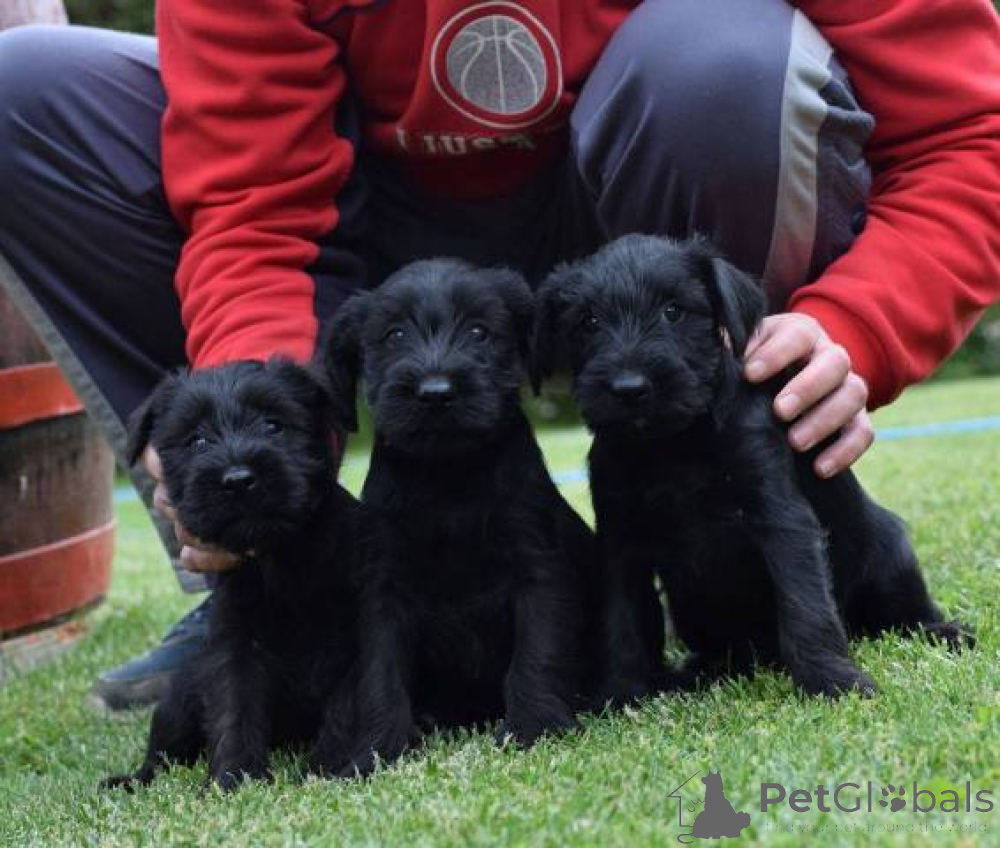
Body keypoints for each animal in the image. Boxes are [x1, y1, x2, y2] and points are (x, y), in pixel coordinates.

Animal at [103, 360, 366, 791]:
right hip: (179, 696)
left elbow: (346, 711)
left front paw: (326, 769)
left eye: (274, 425)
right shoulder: (236, 646)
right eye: (197, 440)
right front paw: (234, 779)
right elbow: (234, 710)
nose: (238, 479)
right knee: (161, 754)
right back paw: (130, 780)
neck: (279, 556)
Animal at [322, 258, 597, 774]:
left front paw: (533, 727)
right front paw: (378, 750)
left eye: (478, 331)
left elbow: (536, 652)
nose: (435, 393)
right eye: (394, 334)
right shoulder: (384, 589)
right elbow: (381, 673)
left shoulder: (537, 570)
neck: (447, 476)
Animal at [533, 235, 971, 704]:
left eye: (674, 310)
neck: (673, 444)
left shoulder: (781, 519)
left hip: (891, 553)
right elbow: (623, 621)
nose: (629, 388)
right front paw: (622, 695)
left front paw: (832, 681)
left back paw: (944, 632)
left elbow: (805, 604)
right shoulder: (621, 539)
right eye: (588, 321)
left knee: (904, 615)